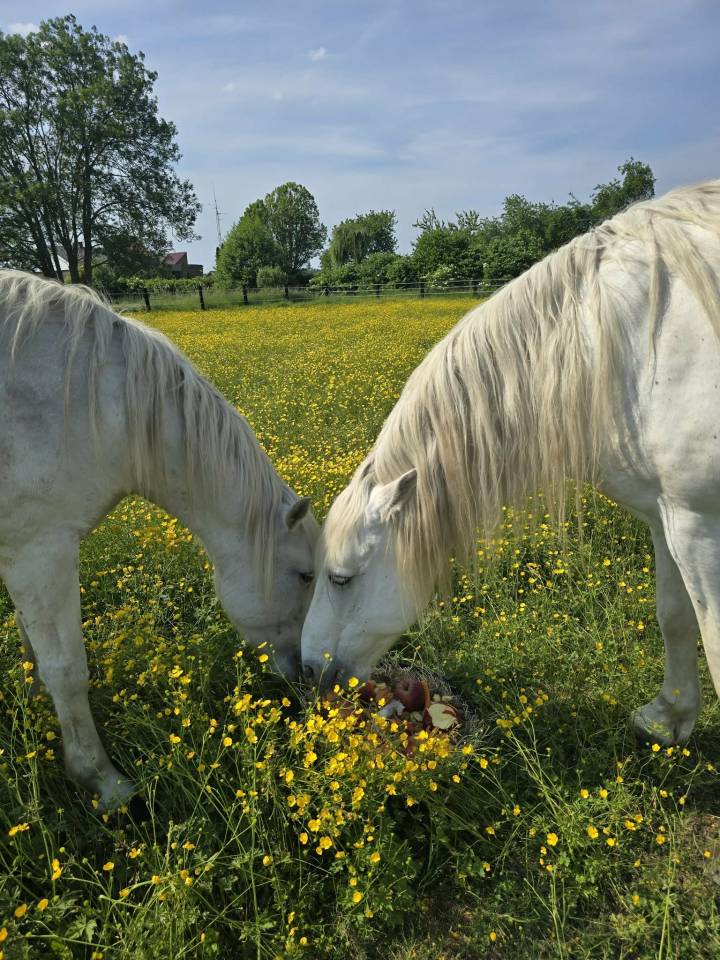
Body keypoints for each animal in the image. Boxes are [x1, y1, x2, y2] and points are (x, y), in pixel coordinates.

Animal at [0, 270, 318, 809]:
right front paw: (101, 781)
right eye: (304, 575)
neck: (92, 400)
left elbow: (31, 641)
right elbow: (66, 669)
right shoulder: (38, 551)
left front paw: (31, 699)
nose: (303, 675)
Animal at [302, 180, 720, 747]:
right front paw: (668, 718)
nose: (307, 670)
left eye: (341, 579)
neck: (629, 351)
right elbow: (675, 615)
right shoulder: (669, 516)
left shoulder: (700, 524)